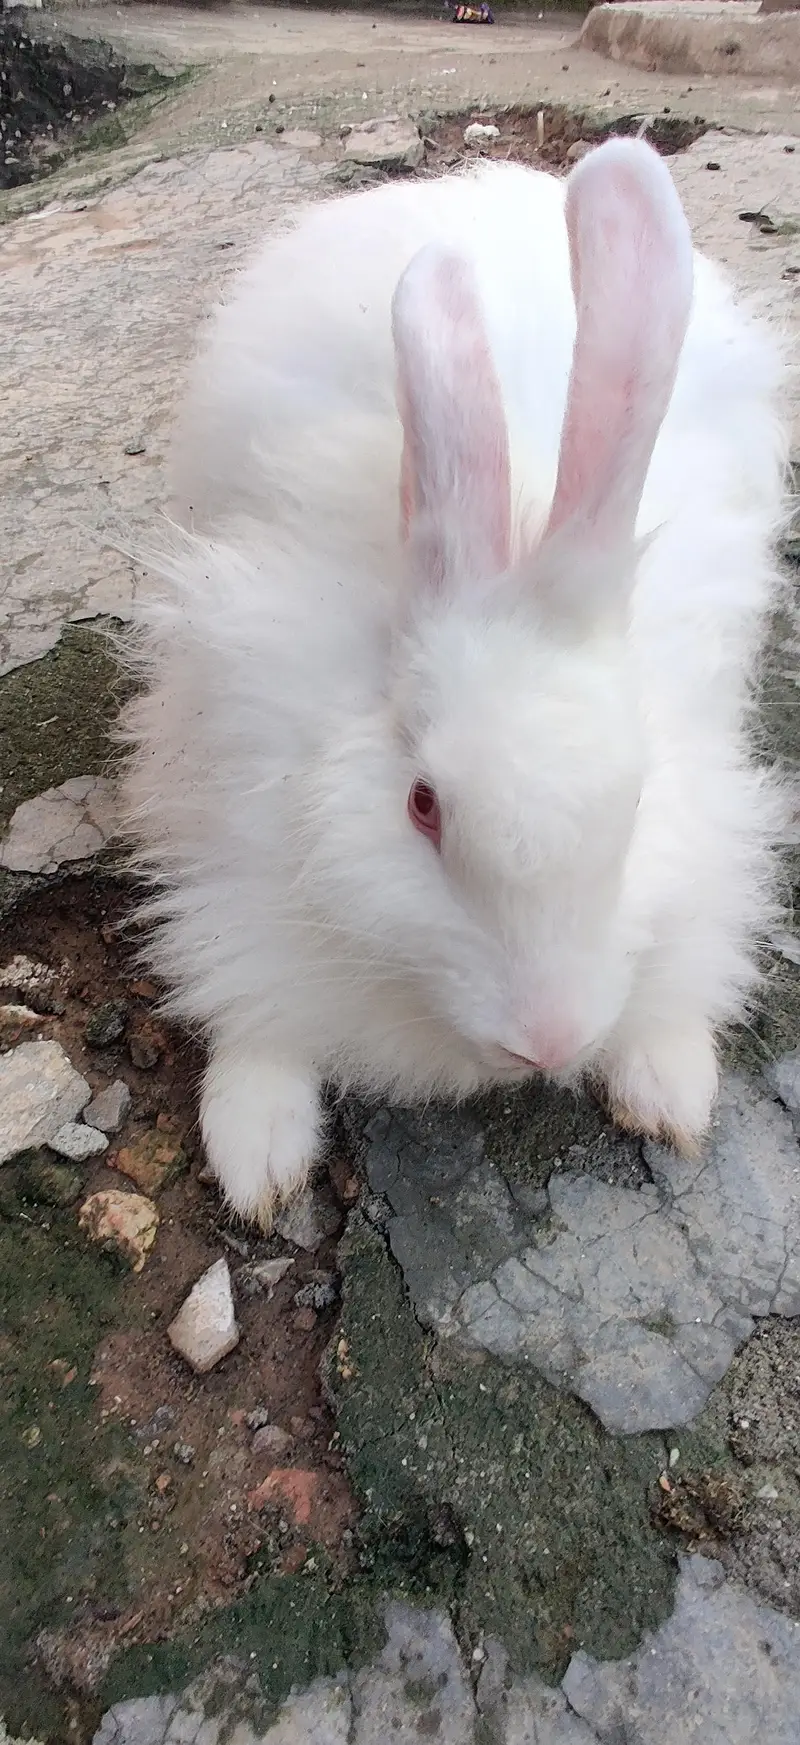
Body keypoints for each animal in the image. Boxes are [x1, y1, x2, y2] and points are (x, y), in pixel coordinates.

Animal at [120, 138, 788, 1227]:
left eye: (635, 805)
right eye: (422, 805)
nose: (547, 1040)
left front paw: (669, 1085)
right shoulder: (230, 814)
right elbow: (249, 996)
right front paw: (257, 1148)